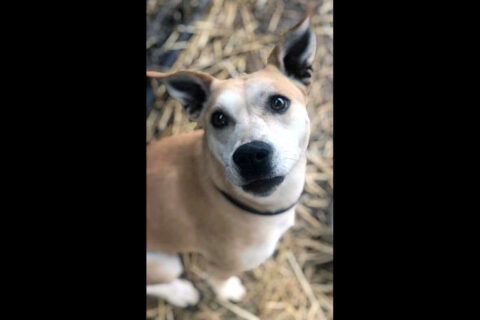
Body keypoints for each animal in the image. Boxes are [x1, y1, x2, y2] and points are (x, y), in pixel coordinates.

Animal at [148, 10, 316, 308]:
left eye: (278, 103)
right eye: (218, 118)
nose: (250, 156)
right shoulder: (221, 265)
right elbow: (220, 283)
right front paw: (229, 292)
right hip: (166, 263)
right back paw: (181, 292)